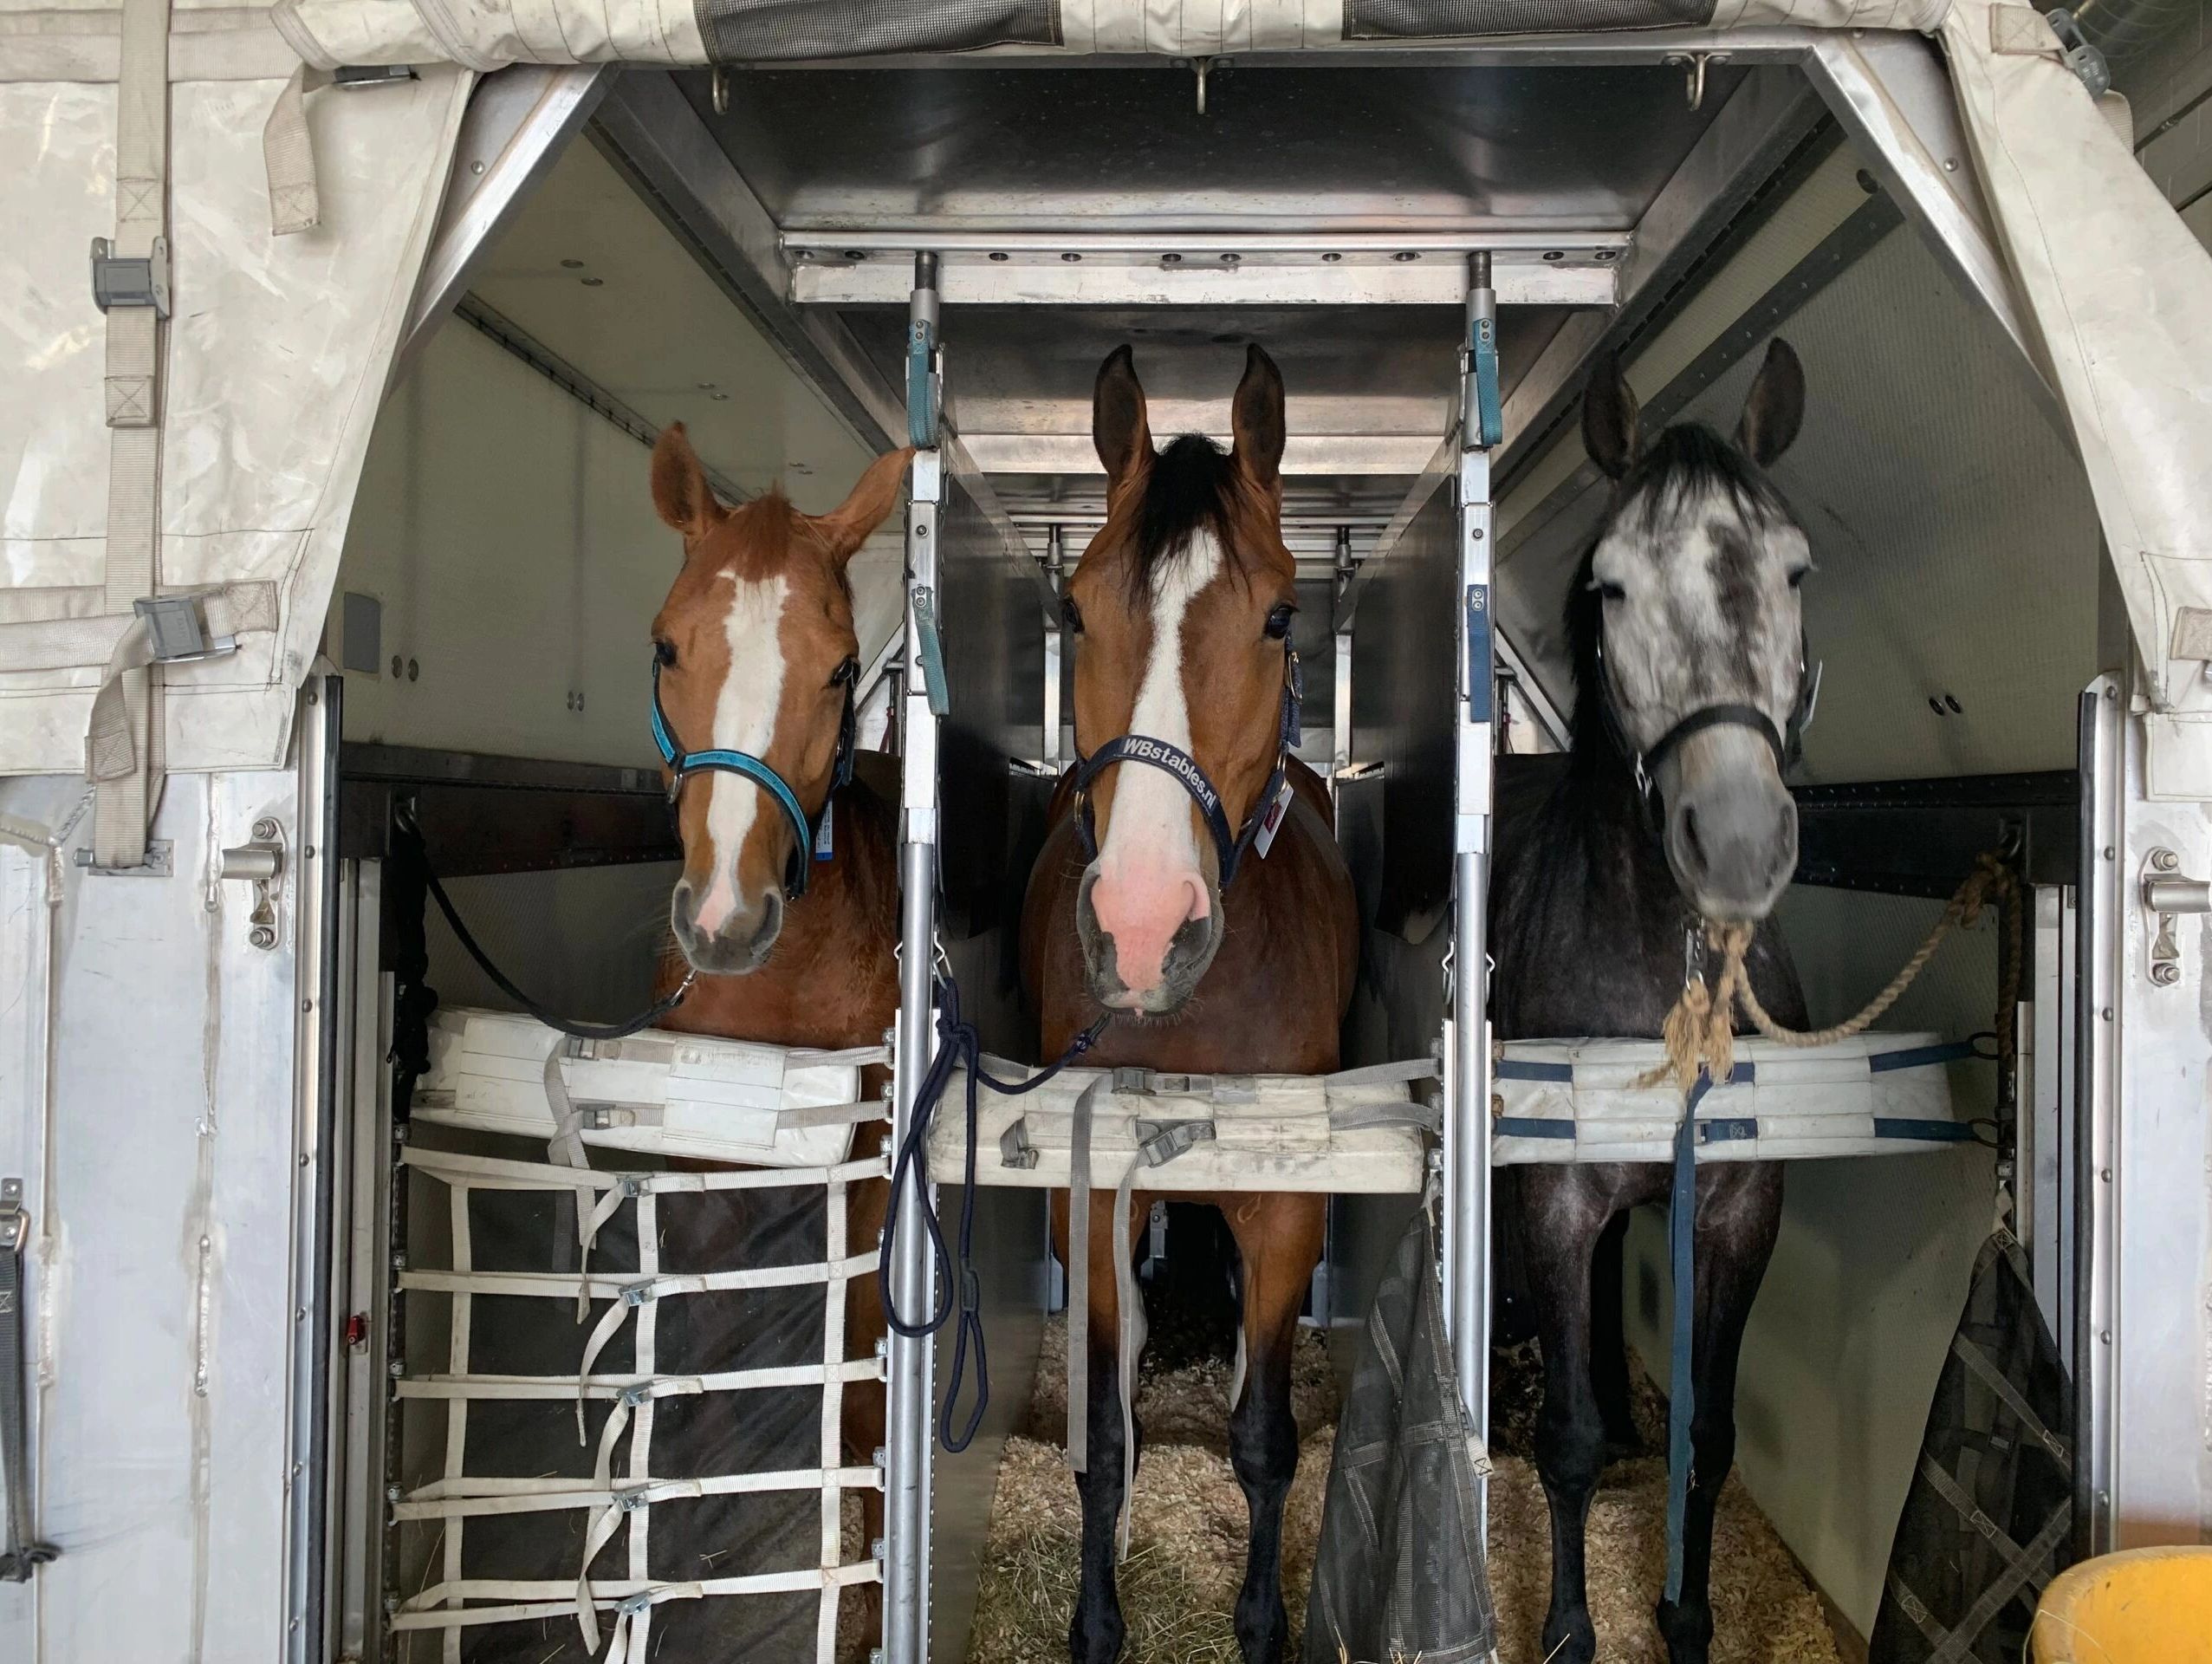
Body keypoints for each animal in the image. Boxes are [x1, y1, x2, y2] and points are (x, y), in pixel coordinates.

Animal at [1022, 343, 1360, 1664]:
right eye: (1074, 611)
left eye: (1279, 616)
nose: (1141, 928)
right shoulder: (1088, 1211)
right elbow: (1104, 1444)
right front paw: (1095, 1625)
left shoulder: (1288, 1210)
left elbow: (1264, 1443)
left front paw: (1261, 1624)